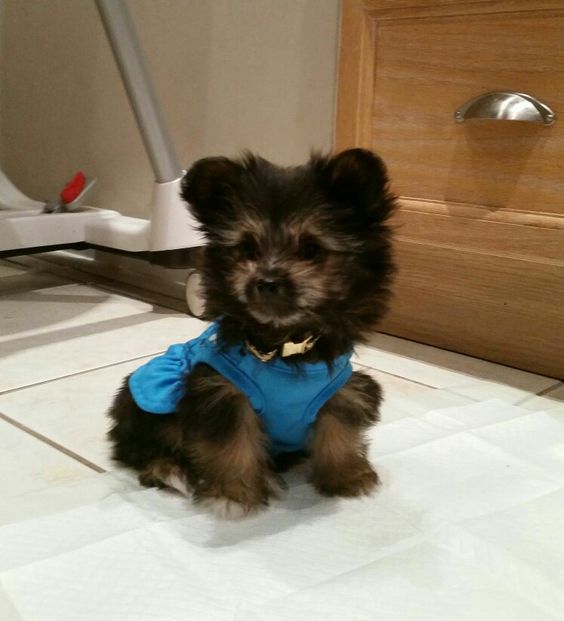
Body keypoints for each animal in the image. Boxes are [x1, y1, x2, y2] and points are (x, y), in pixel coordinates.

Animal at [107, 150, 396, 520]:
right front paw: (234, 494)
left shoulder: (342, 390)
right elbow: (232, 443)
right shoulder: (222, 391)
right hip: (152, 406)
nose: (267, 281)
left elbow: (338, 428)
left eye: (311, 249)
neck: (286, 344)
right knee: (147, 450)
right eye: (247, 249)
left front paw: (346, 476)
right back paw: (172, 470)